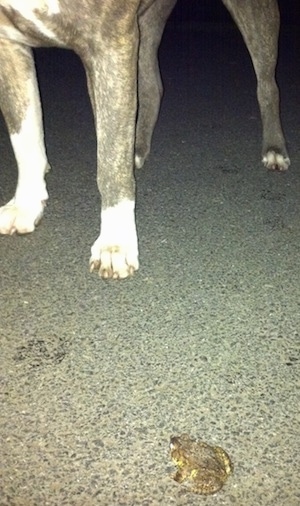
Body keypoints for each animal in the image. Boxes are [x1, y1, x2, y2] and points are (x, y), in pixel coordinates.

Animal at [0, 0, 288, 278]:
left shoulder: (108, 42)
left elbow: (110, 161)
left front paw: (114, 242)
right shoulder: (9, 45)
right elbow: (25, 140)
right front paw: (26, 204)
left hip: (256, 17)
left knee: (267, 85)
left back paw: (274, 148)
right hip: (145, 24)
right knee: (152, 87)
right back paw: (136, 147)